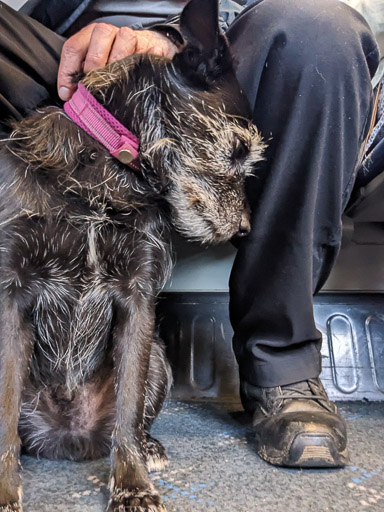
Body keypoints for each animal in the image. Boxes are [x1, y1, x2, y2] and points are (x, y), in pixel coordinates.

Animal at [0, 1, 264, 512]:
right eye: (239, 148)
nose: (245, 229)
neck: (103, 169)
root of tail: (65, 439)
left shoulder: (136, 301)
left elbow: (127, 409)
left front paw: (133, 485)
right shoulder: (9, 296)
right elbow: (1, 419)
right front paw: (4, 492)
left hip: (159, 359)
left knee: (134, 420)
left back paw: (149, 446)